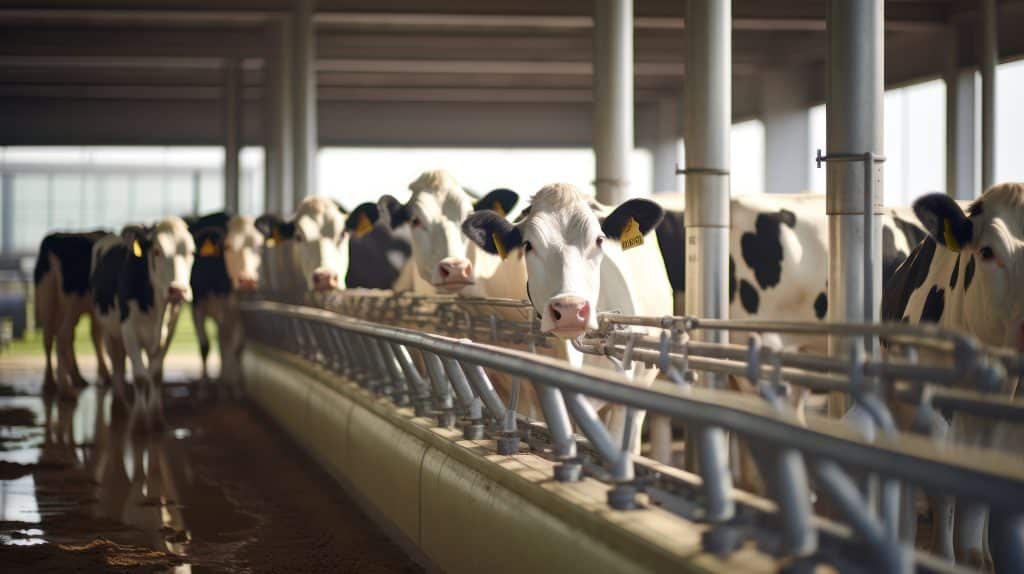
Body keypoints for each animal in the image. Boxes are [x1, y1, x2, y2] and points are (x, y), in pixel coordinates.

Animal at [34, 230, 114, 396]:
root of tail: (52, 240)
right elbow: (97, 336)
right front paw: (105, 374)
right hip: (72, 303)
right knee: (63, 335)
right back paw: (66, 387)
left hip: (48, 300)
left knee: (49, 337)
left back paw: (53, 382)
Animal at [92, 216, 197, 427]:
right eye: (157, 251)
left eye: (191, 252)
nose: (178, 290)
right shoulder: (129, 330)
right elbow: (140, 377)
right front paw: (140, 421)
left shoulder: (168, 331)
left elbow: (155, 375)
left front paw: (156, 418)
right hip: (109, 331)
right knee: (116, 364)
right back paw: (119, 407)